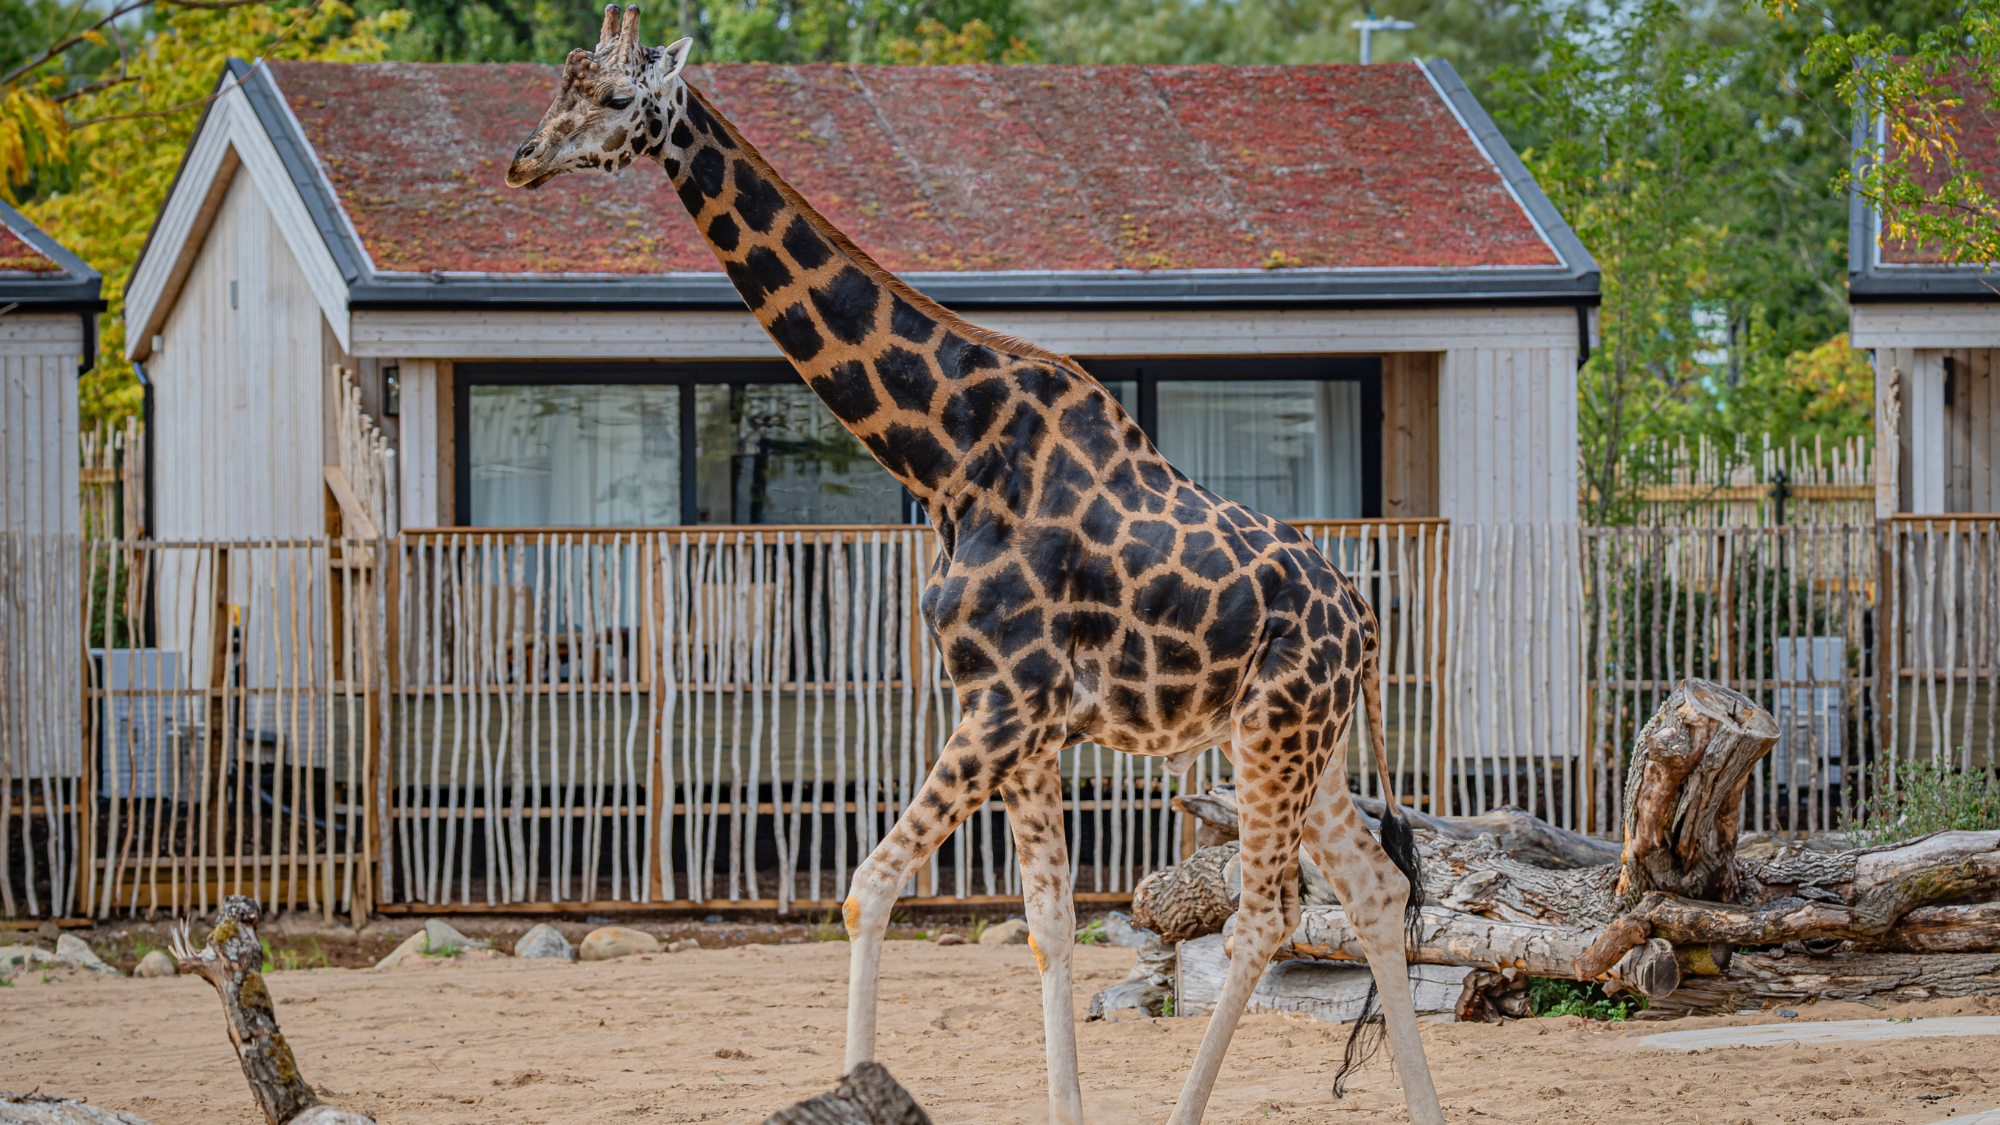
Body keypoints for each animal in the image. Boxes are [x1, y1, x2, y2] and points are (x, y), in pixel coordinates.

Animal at [504, 11, 1446, 1124]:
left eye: (615, 99)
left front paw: (857, 1085)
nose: (524, 160)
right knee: (1375, 889)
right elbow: (1046, 921)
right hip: (1307, 744)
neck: (945, 452)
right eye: (560, 84)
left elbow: (868, 887)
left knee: (1263, 913)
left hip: (1275, 733)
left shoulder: (1002, 704)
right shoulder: (1025, 725)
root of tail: (1365, 621)